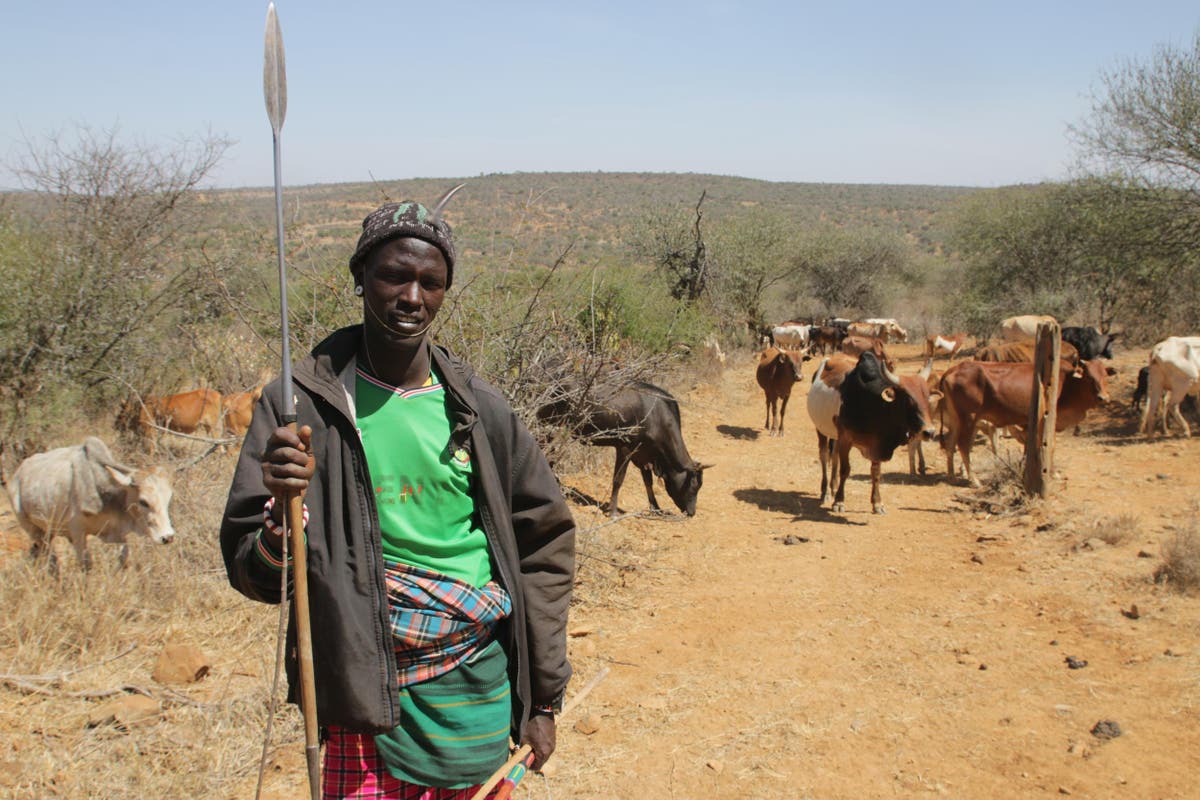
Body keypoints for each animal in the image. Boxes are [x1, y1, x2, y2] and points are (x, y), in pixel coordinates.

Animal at [7, 437, 175, 570]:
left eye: (168, 499)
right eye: (143, 502)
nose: (168, 537)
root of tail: (18, 474)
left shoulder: (117, 533)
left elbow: (125, 560)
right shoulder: (78, 533)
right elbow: (86, 565)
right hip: (34, 530)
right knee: (50, 560)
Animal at [537, 382, 711, 517]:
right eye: (694, 486)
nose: (692, 513)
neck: (657, 416)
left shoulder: (644, 455)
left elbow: (648, 482)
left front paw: (656, 508)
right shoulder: (625, 448)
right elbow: (618, 479)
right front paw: (613, 511)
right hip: (549, 425)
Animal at [806, 353, 939, 514]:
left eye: (927, 397)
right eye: (908, 398)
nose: (929, 432)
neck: (874, 404)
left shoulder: (876, 443)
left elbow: (876, 473)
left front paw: (877, 503)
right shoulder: (846, 439)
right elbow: (845, 470)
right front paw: (839, 502)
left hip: (835, 434)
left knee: (835, 456)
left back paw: (833, 488)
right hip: (821, 429)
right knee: (825, 457)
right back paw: (825, 492)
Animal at [938, 359, 1112, 486]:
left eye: (1105, 375)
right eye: (1089, 376)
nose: (1103, 398)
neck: (1067, 383)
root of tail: (954, 369)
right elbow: (1051, 446)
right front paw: (1053, 473)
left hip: (957, 419)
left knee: (950, 442)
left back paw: (952, 476)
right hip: (969, 418)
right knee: (963, 445)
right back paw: (974, 480)